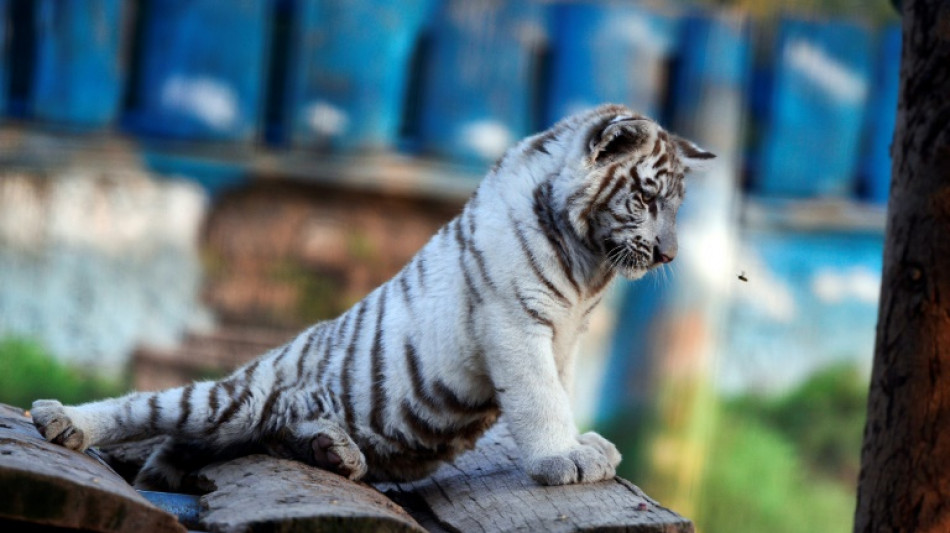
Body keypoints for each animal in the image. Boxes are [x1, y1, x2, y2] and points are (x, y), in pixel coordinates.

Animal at [31, 104, 714, 489]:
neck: (587, 265)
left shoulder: (567, 338)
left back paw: (333, 451)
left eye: (677, 207)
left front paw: (584, 445)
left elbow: (565, 392)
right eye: (647, 198)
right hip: (229, 398)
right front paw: (562, 460)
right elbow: (542, 400)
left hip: (256, 418)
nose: (669, 255)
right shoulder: (516, 323)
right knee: (147, 409)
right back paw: (62, 420)